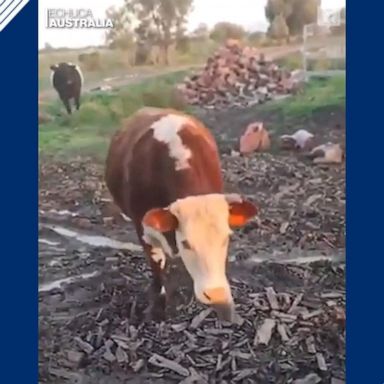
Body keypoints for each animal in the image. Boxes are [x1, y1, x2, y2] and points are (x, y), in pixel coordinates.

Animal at [105, 107, 258, 320]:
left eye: (226, 239)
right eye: (186, 243)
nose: (216, 293)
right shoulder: (143, 228)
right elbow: (156, 265)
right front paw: (158, 305)